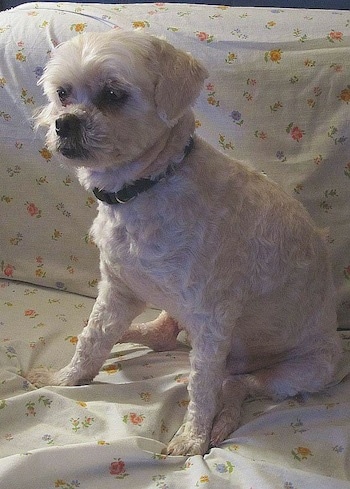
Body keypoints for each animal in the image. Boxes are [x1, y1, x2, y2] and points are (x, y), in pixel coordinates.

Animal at [30, 30, 342, 456]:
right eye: (62, 93)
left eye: (112, 94)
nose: (64, 123)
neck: (146, 187)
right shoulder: (118, 289)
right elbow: (92, 339)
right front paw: (65, 379)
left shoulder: (212, 319)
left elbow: (202, 387)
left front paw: (192, 439)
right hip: (171, 308)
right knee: (162, 336)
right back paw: (128, 335)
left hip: (305, 370)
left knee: (237, 385)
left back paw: (222, 420)